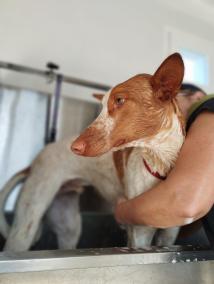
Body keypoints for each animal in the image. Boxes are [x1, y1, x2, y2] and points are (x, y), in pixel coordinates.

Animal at [0, 52, 184, 251]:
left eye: (120, 100)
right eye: (102, 106)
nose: (74, 147)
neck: (160, 160)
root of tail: (35, 161)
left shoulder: (169, 236)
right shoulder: (139, 234)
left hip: (69, 227)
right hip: (26, 225)